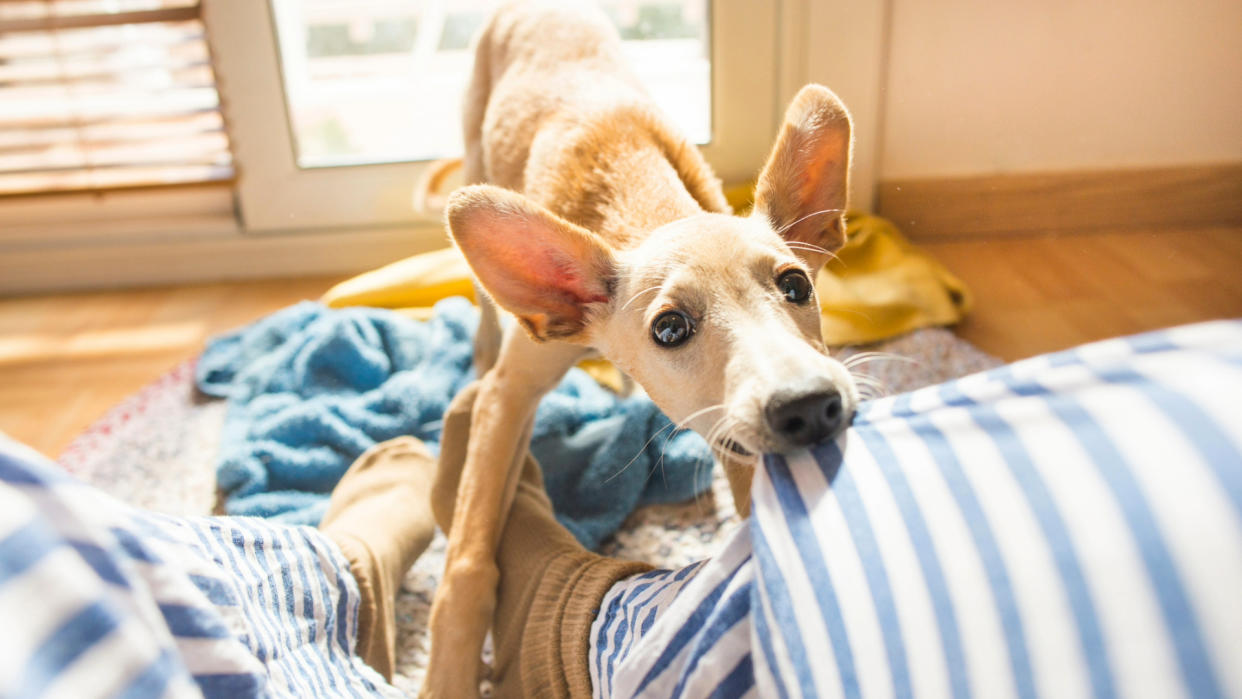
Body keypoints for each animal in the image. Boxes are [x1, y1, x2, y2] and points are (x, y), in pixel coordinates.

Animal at [422, 2, 859, 695]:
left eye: (796, 285)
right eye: (670, 329)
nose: (810, 407)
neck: (638, 198)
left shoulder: (732, 430)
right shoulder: (510, 395)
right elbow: (467, 557)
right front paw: (450, 671)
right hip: (472, 151)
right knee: (486, 313)